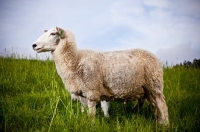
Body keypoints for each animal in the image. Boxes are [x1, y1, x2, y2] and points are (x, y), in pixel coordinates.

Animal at [32, 26, 169, 126]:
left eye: (53, 34)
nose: (34, 45)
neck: (76, 61)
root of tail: (153, 55)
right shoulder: (83, 93)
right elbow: (86, 110)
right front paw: (85, 121)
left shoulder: (91, 92)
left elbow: (92, 112)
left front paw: (92, 125)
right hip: (147, 89)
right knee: (155, 105)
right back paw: (159, 123)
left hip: (154, 84)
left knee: (162, 105)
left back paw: (165, 125)